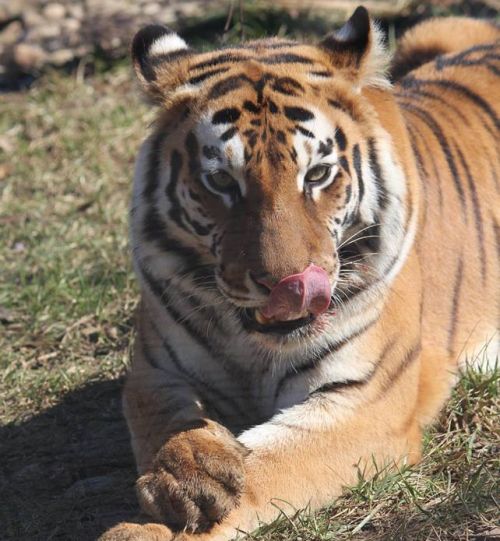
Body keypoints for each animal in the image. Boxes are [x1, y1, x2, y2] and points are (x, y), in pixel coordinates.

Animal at [100, 7, 496, 540]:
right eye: (221, 181)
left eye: (317, 174)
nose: (286, 286)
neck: (252, 345)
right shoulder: (154, 370)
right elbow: (164, 417)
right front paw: (190, 472)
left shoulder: (365, 401)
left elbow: (265, 467)